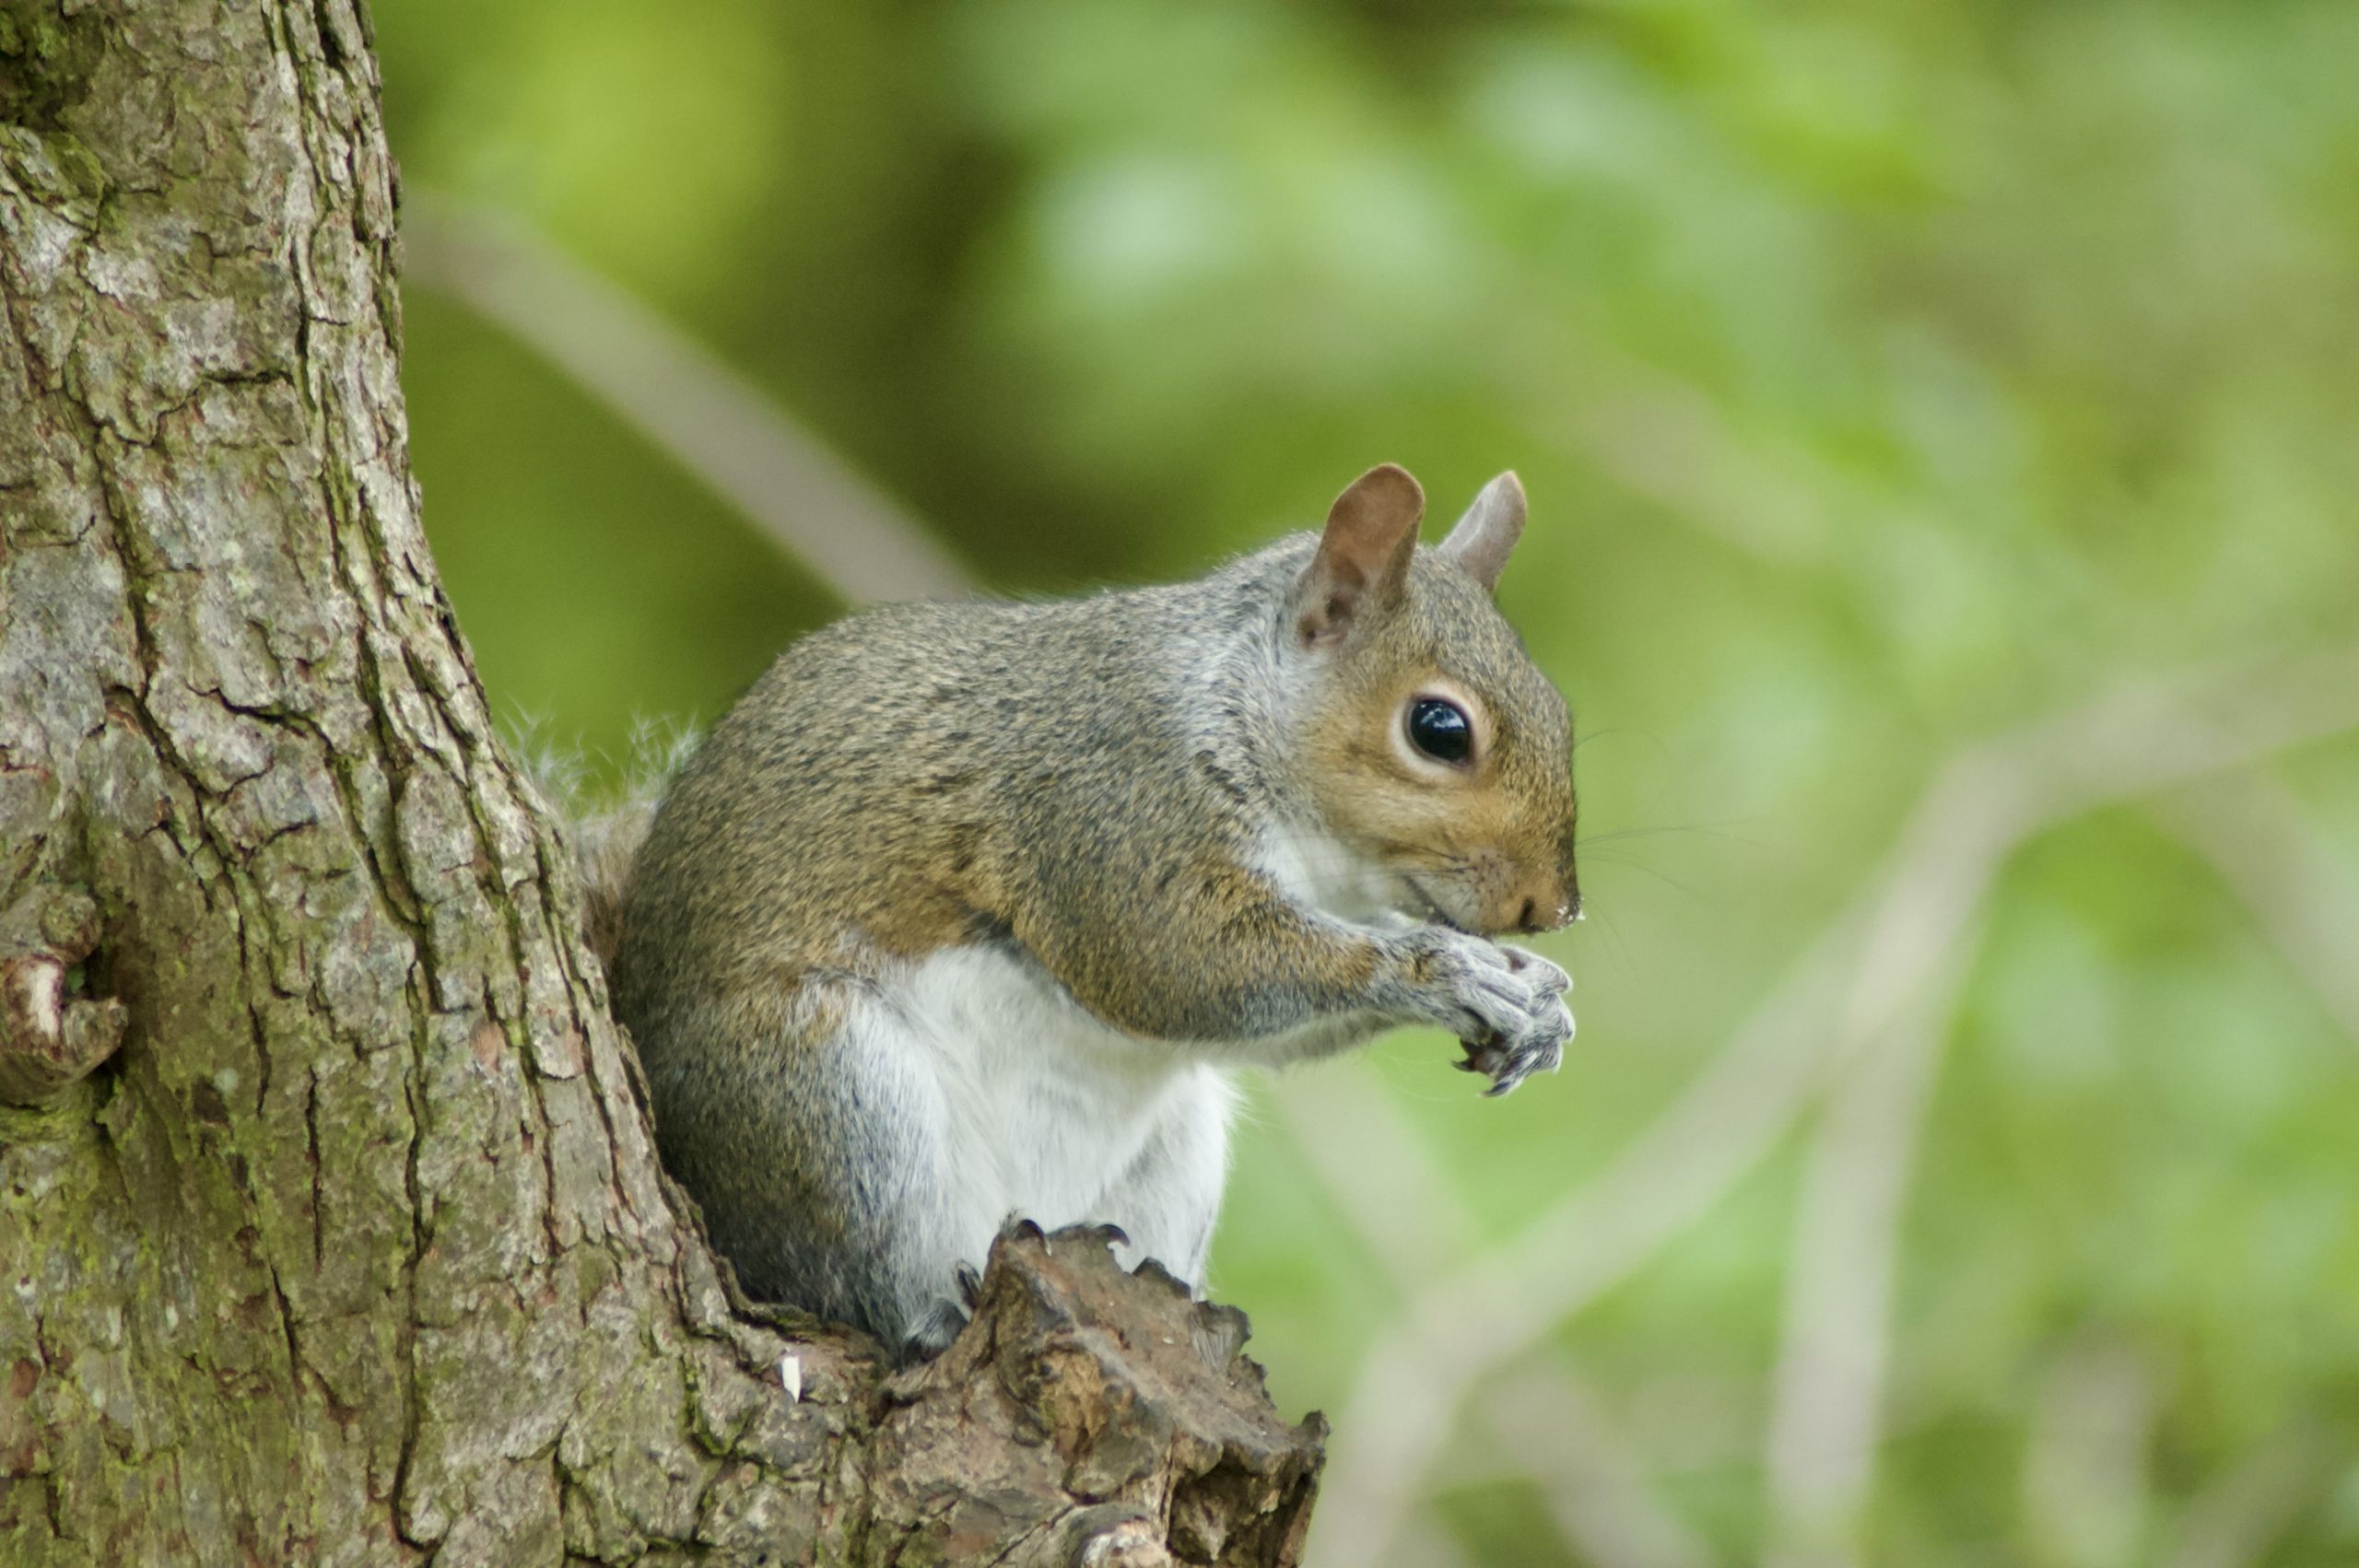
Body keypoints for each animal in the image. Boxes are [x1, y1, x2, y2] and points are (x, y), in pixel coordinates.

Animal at [602, 462, 1580, 1359]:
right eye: (1438, 729)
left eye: (1563, 714)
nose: (1556, 907)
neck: (1227, 704)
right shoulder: (1111, 811)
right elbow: (1178, 965)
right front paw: (1451, 969)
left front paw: (1537, 1000)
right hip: (827, 1097)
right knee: (860, 1277)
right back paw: (933, 1319)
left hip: (1174, 1154)